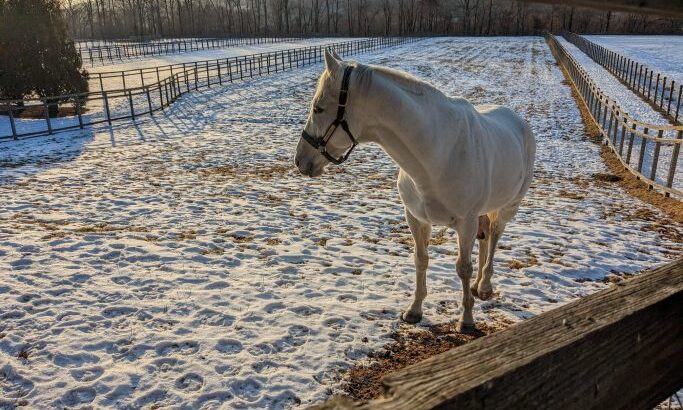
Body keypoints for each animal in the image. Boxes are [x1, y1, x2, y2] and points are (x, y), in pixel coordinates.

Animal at [296, 48, 536, 332]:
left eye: (318, 107)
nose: (300, 160)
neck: (437, 154)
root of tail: (519, 121)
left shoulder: (465, 223)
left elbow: (462, 267)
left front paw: (466, 320)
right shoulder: (416, 218)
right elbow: (421, 259)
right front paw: (414, 311)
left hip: (509, 206)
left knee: (496, 235)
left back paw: (485, 286)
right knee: (486, 235)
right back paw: (479, 286)